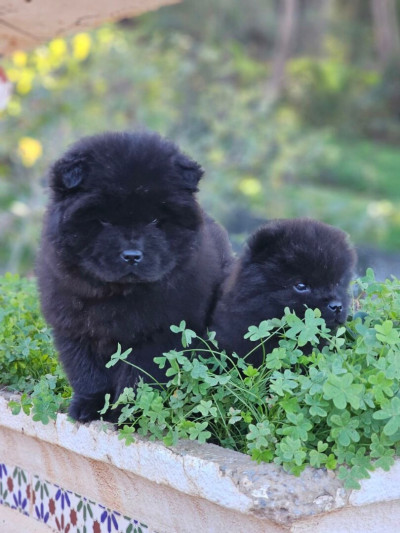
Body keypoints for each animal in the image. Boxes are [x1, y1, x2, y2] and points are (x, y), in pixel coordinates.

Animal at [36, 129, 234, 420]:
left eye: (154, 220)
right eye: (103, 220)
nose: (132, 255)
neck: (117, 294)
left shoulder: (157, 334)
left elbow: (137, 378)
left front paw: (125, 413)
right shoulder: (74, 328)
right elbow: (87, 374)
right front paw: (88, 407)